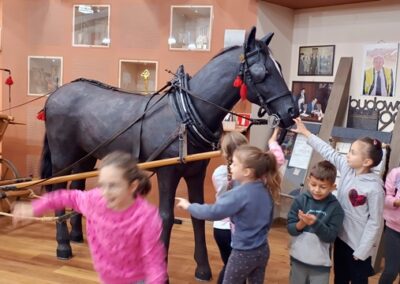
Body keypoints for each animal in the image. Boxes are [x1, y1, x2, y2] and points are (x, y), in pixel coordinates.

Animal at [40, 26, 298, 280]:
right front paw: (161, 272)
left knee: (77, 186)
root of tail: (54, 95)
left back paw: (76, 235)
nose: (291, 111)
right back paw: (63, 245)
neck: (185, 114)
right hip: (63, 155)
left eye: (279, 66)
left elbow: (198, 214)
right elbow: (165, 215)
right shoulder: (167, 172)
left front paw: (202, 269)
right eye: (263, 72)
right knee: (58, 187)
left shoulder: (195, 173)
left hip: (85, 155)